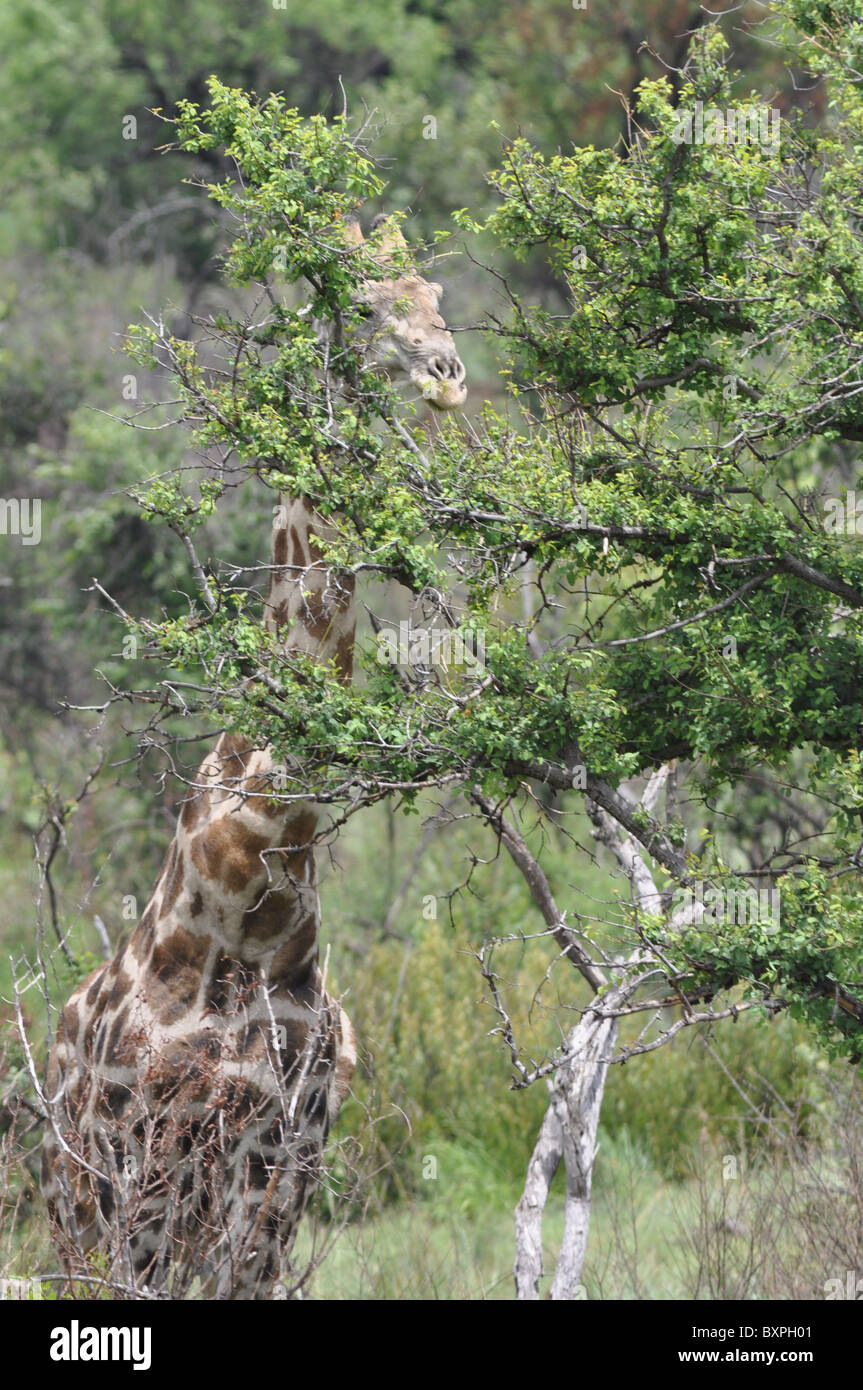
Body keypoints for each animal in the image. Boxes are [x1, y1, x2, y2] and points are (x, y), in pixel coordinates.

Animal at [42, 211, 464, 1295]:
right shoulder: (156, 1145)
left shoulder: (282, 1152)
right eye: (359, 303)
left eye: (436, 293)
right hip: (77, 1203)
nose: (444, 374)